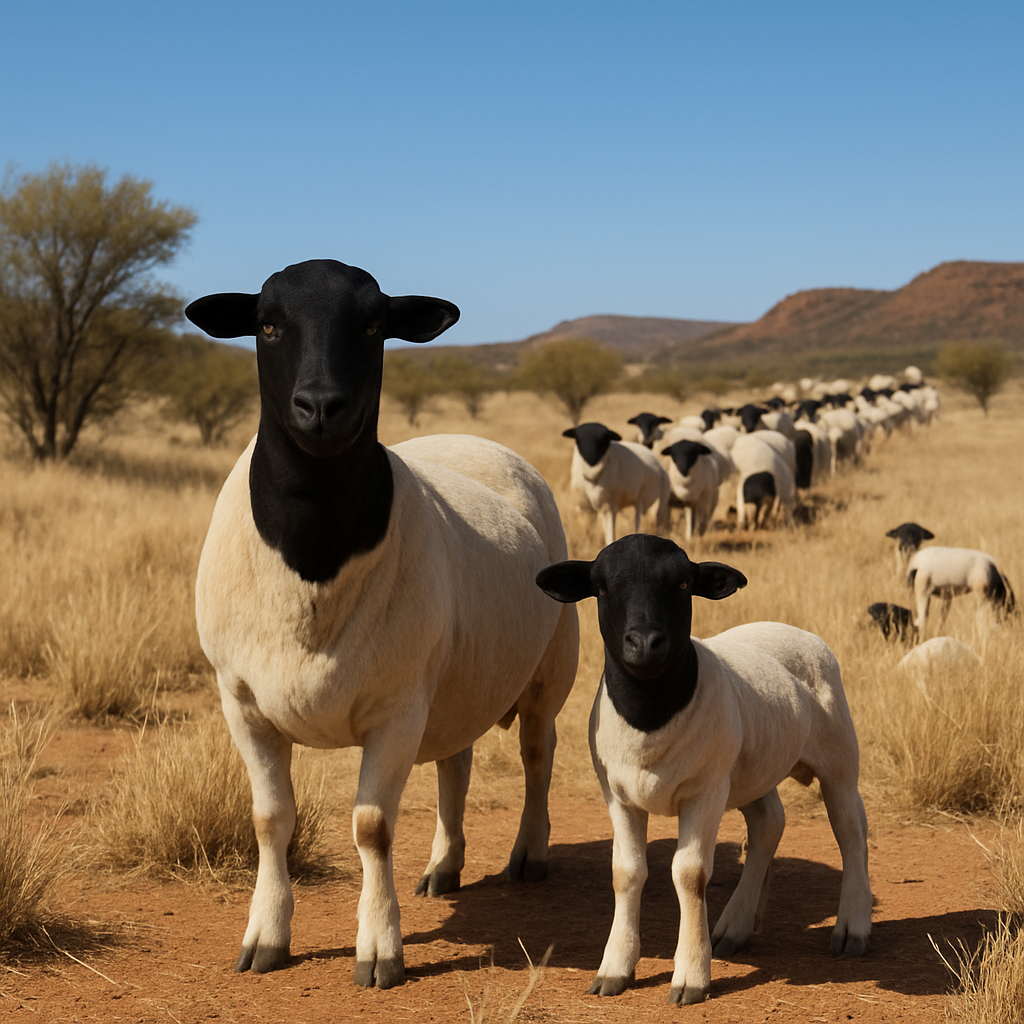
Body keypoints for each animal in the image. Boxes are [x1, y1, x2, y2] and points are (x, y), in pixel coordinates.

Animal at [185, 259, 580, 989]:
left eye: (373, 326)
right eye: (267, 324)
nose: (320, 405)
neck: (314, 555)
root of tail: (472, 439)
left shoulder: (396, 707)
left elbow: (372, 827)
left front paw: (379, 948)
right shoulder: (241, 701)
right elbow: (270, 820)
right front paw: (266, 936)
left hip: (546, 673)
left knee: (538, 755)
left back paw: (529, 855)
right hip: (455, 682)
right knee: (457, 763)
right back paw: (444, 867)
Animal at [535, 534, 872, 1004]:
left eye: (682, 585)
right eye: (601, 588)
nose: (645, 643)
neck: (650, 714)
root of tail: (794, 629)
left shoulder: (705, 791)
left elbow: (690, 875)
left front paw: (691, 975)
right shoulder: (618, 795)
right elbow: (626, 872)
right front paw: (615, 968)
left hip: (838, 757)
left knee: (850, 832)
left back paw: (853, 928)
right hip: (751, 770)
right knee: (769, 823)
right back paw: (735, 926)